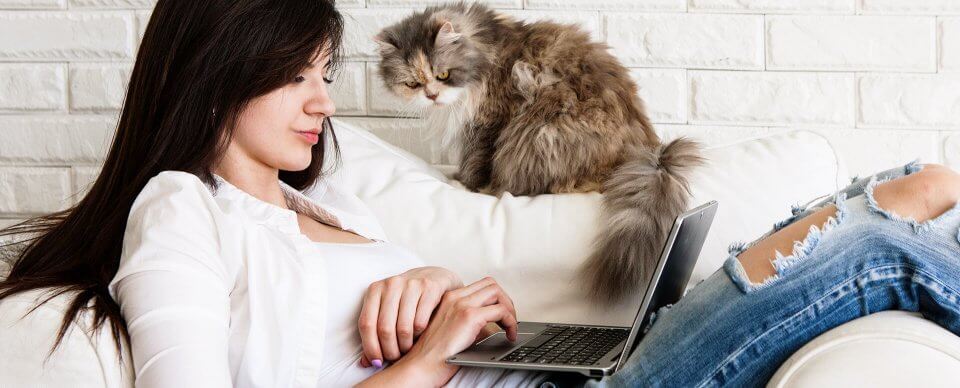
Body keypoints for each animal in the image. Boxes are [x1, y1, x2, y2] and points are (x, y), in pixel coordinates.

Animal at [376, 3, 704, 304]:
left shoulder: (488, 122)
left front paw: (466, 184)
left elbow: (476, 162)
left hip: (540, 132)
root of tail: (649, 152)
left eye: (443, 74)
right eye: (413, 83)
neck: (484, 46)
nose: (432, 95)